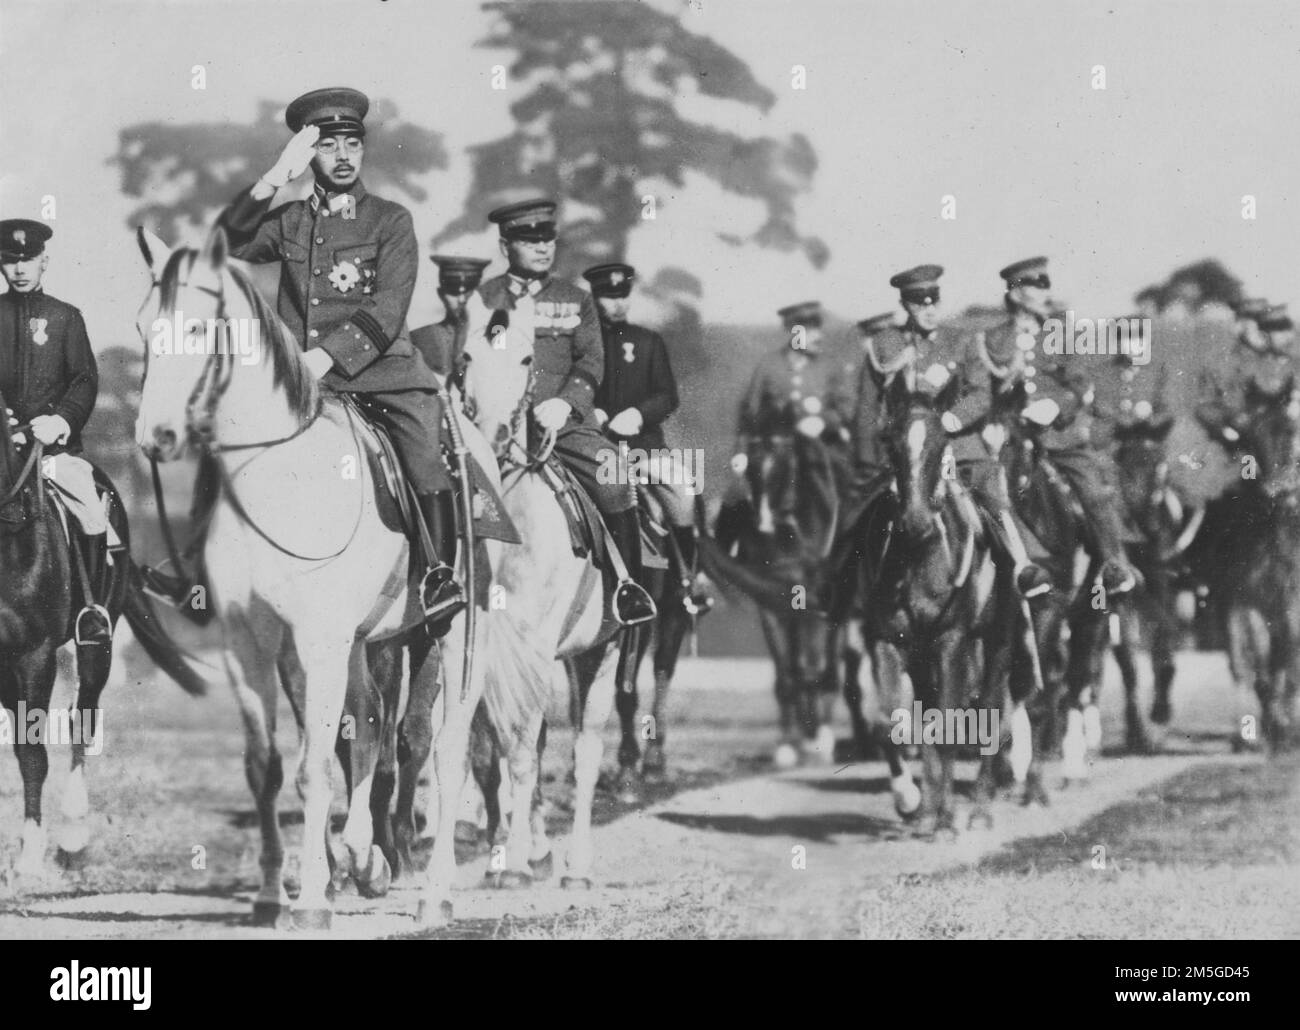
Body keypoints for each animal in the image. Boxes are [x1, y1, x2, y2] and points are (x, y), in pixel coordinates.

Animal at [133, 227, 496, 931]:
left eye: (196, 327)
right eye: (143, 329)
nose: (153, 438)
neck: (278, 477)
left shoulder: (320, 642)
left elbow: (314, 771)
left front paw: (310, 904)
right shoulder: (250, 644)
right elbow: (269, 767)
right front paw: (278, 892)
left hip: (459, 630)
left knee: (445, 744)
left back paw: (433, 892)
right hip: (375, 641)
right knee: (373, 726)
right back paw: (365, 859)